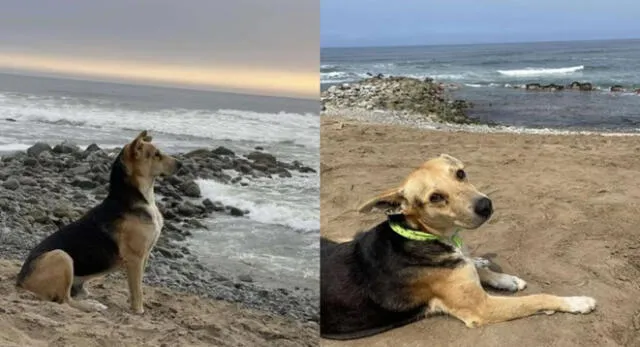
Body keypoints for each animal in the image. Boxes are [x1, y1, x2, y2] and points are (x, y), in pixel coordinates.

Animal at [15, 131, 180, 316]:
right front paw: (138, 310)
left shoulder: (144, 256)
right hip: (61, 256)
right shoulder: (135, 258)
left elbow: (136, 287)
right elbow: (137, 290)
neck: (135, 198)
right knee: (65, 301)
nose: (181, 164)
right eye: (156, 155)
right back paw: (92, 306)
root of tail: (20, 280)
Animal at [322, 154, 596, 340]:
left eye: (460, 174)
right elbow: (537, 299)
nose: (485, 205)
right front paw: (577, 302)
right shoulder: (483, 308)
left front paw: (505, 278)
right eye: (435, 198)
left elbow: (478, 269)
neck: (421, 234)